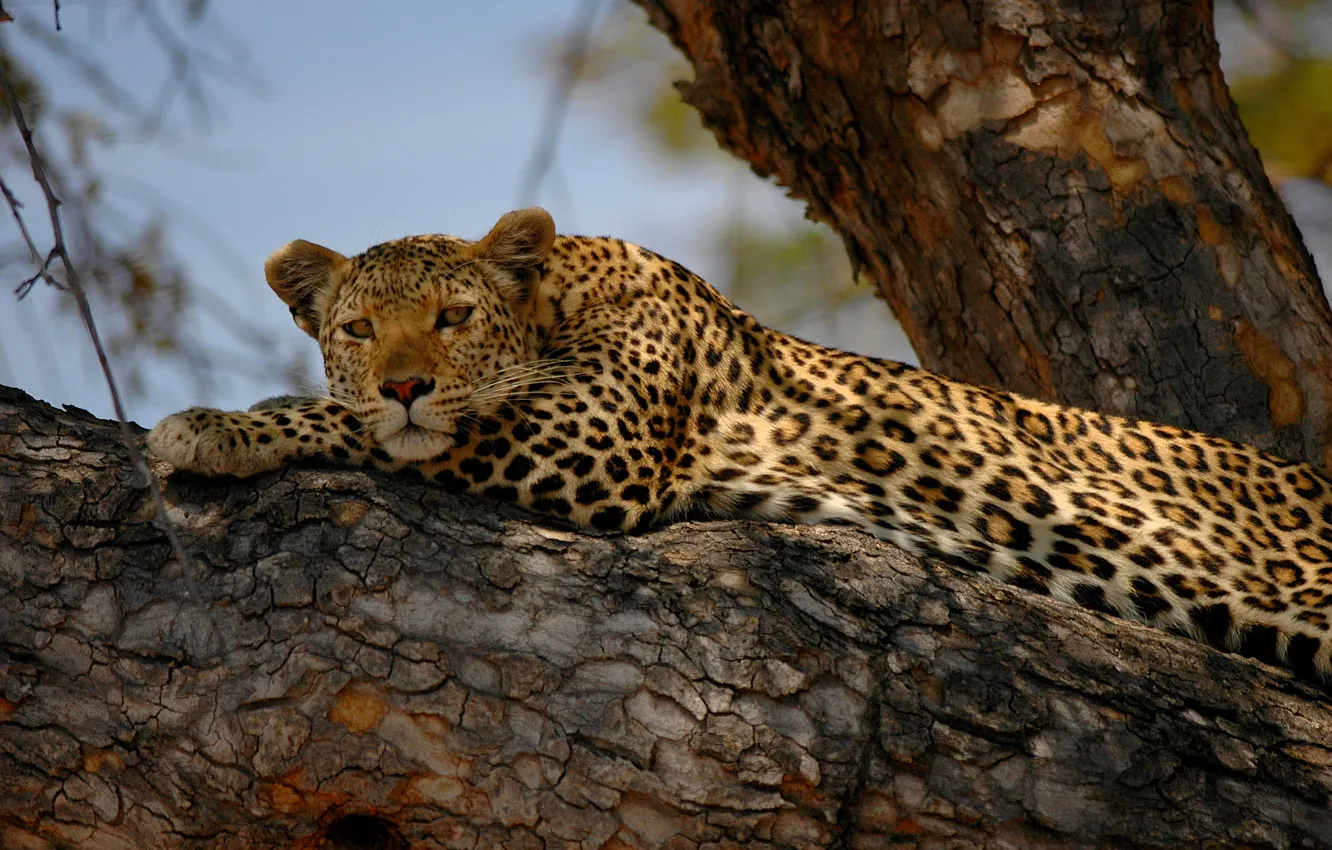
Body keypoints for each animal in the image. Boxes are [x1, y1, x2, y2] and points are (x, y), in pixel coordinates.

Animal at [149, 207, 1332, 685]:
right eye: (357, 329)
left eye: (451, 318)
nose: (404, 381)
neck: (563, 290)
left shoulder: (587, 441)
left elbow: (391, 429)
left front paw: (212, 426)